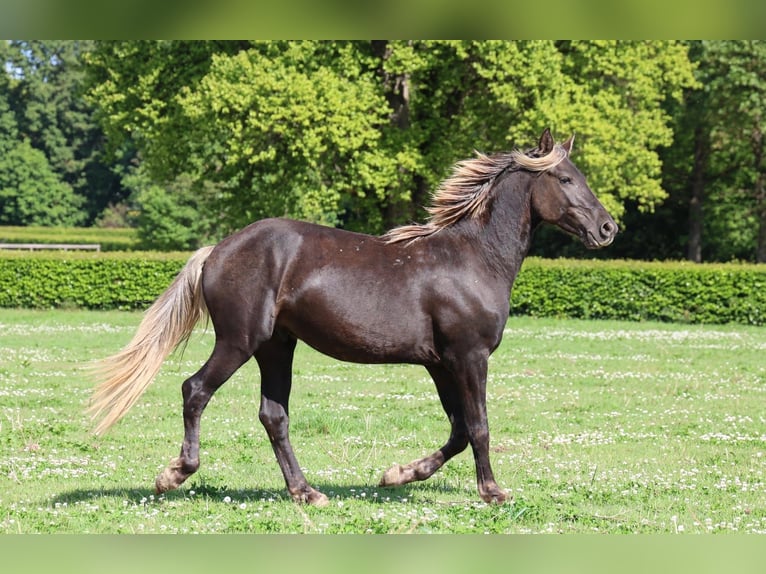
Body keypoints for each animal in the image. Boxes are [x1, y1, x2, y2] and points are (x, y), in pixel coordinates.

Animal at [88, 128, 617, 506]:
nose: (608, 228)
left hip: (276, 347)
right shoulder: (469, 357)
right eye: (566, 179)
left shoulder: (440, 363)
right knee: (195, 390)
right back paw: (174, 474)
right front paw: (493, 492)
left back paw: (306, 492)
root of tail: (217, 251)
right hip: (240, 341)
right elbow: (479, 426)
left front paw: (397, 474)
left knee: (273, 415)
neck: (472, 259)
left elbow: (459, 430)